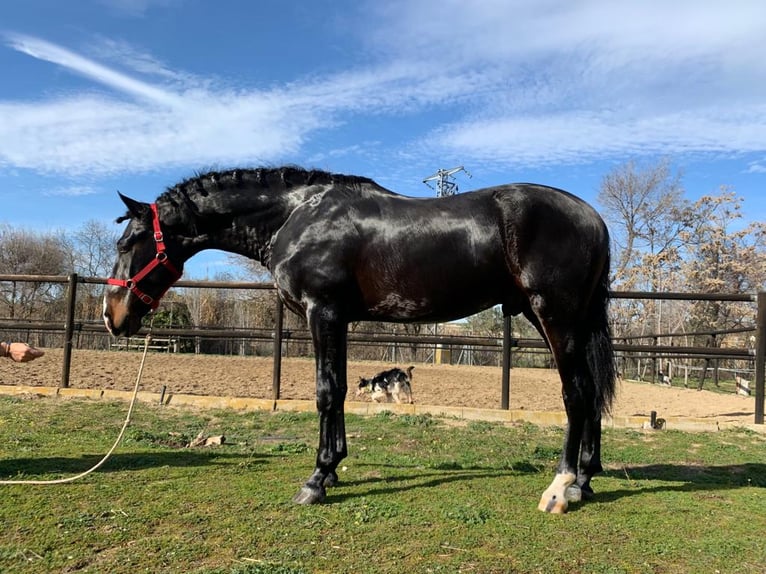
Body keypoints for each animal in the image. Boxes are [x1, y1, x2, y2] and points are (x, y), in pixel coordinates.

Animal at [103, 165, 616, 512]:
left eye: (127, 244)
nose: (112, 316)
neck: (296, 216)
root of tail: (593, 218)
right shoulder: (339, 320)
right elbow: (343, 389)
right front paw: (332, 470)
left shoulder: (323, 312)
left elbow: (326, 392)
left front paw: (315, 481)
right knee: (590, 392)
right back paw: (584, 481)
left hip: (554, 315)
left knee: (575, 392)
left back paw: (560, 488)